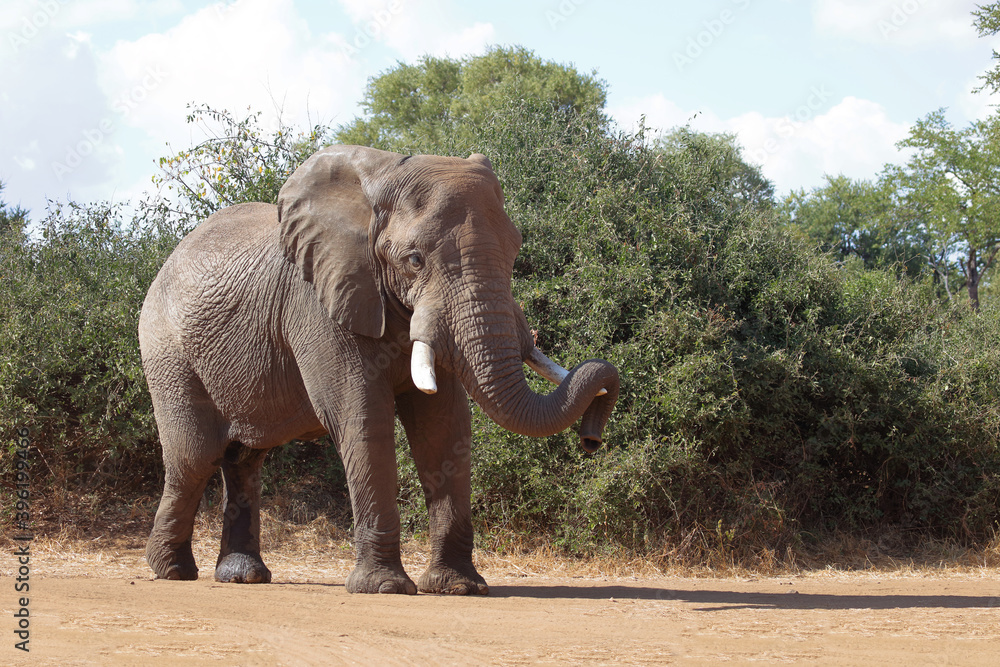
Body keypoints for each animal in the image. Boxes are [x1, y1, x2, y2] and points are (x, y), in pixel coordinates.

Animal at [139, 144, 619, 595]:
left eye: (515, 250)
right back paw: (173, 571)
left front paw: (459, 587)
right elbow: (362, 417)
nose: (592, 440)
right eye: (414, 260)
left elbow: (444, 426)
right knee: (194, 456)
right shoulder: (319, 303)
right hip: (166, 351)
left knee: (243, 457)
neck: (380, 178)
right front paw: (385, 587)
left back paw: (242, 576)